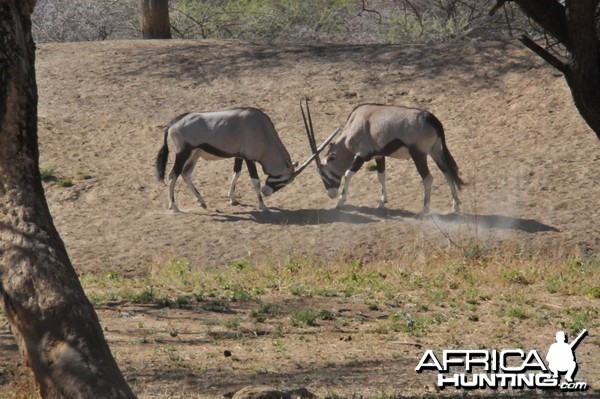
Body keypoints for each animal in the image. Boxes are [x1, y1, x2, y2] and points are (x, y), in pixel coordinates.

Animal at [155, 106, 296, 212]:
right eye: (286, 180)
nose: (266, 192)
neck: (261, 128)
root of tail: (173, 123)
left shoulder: (239, 156)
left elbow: (236, 173)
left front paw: (232, 199)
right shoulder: (249, 158)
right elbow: (255, 181)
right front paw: (262, 206)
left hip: (194, 154)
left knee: (185, 174)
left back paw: (202, 202)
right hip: (182, 154)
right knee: (173, 175)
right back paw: (174, 207)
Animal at [302, 101, 466, 217]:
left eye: (323, 174)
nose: (331, 194)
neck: (353, 126)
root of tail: (432, 119)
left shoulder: (361, 155)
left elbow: (348, 174)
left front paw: (341, 201)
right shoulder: (379, 156)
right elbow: (381, 176)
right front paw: (382, 202)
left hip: (419, 155)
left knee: (428, 178)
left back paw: (424, 209)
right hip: (435, 151)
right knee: (447, 172)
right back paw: (456, 206)